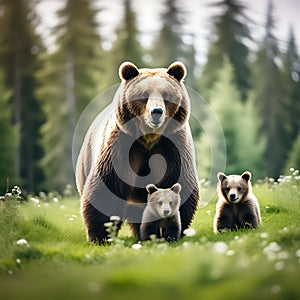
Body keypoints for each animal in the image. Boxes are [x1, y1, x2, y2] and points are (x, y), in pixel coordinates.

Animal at [76, 61, 199, 244]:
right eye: (144, 95)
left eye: (166, 94)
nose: (156, 112)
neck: (149, 137)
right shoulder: (121, 146)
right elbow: (107, 187)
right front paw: (100, 236)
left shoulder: (173, 146)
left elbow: (179, 183)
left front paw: (174, 231)